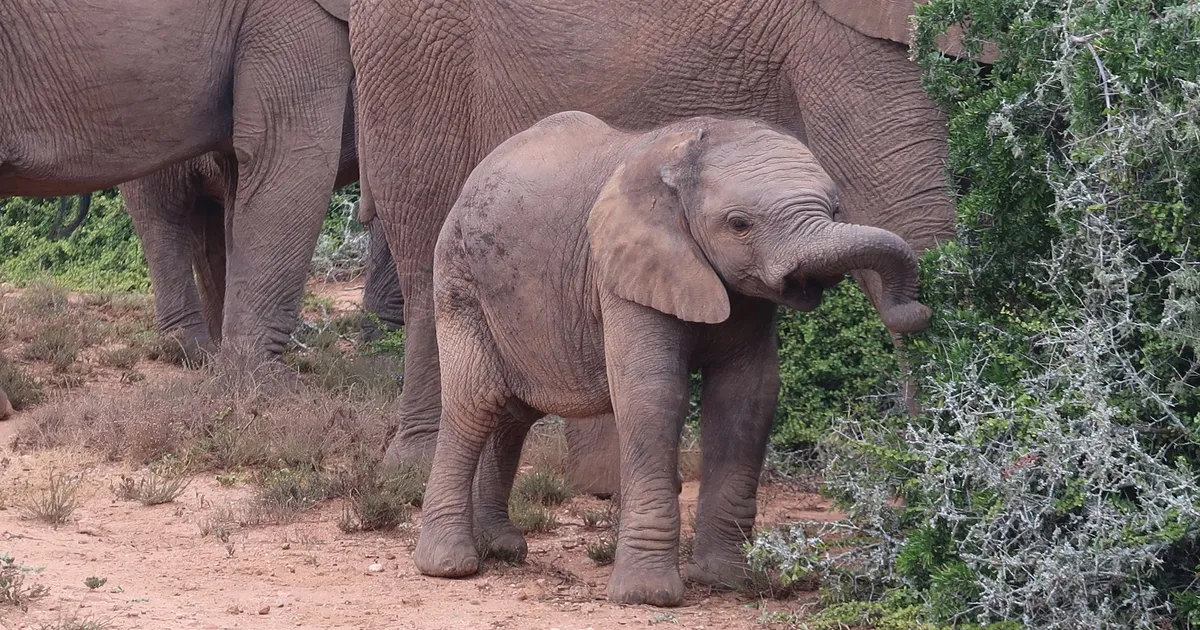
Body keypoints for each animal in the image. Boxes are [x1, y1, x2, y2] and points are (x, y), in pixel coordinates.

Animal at [350, 0, 977, 473]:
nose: (914, 310)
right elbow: (909, 209)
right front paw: (936, 476)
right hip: (419, 45)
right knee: (425, 225)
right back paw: (417, 467)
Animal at [414, 111, 932, 606]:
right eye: (739, 224)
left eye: (836, 209)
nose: (915, 312)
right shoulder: (624, 271)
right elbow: (653, 393)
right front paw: (648, 596)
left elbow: (747, 397)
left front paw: (726, 581)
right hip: (458, 277)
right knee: (476, 402)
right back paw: (449, 564)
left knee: (513, 413)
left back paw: (502, 548)